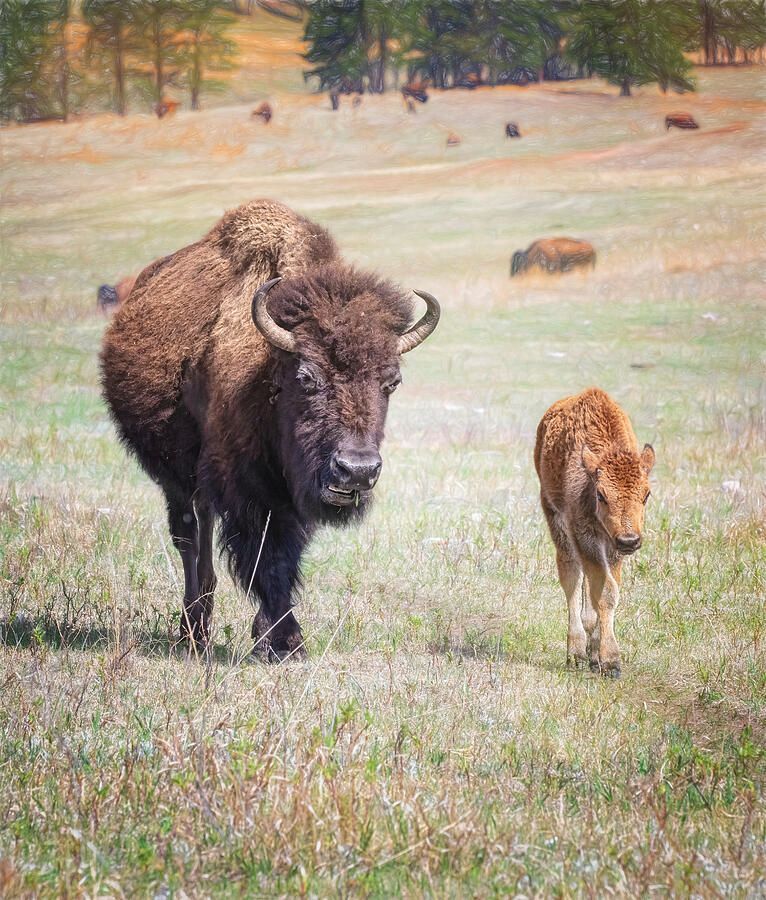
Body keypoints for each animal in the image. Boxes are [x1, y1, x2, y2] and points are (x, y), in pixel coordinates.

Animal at [100, 200, 441, 658]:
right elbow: (266, 552)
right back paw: (193, 630)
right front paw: (286, 641)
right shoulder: (247, 484)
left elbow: (286, 550)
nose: (357, 471)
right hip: (174, 471)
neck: (268, 373)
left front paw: (270, 635)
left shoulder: (294, 491)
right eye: (306, 377)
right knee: (189, 534)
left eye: (392, 382)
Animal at [534, 388, 655, 677]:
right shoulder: (584, 538)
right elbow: (604, 590)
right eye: (601, 495)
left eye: (646, 495)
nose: (630, 540)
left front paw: (600, 655)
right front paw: (611, 661)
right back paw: (576, 653)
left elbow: (607, 593)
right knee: (571, 577)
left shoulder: (612, 548)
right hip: (556, 521)